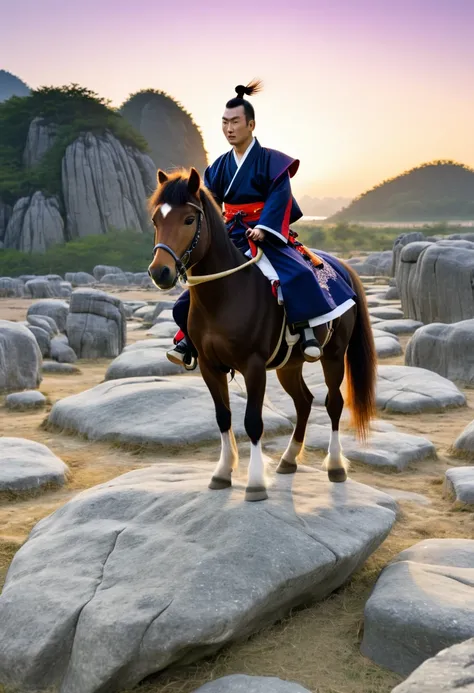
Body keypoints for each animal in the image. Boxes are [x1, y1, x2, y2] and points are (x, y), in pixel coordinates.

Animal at [146, 168, 376, 502]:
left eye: (189, 220)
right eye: (156, 221)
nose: (159, 272)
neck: (224, 295)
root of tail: (342, 266)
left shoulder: (253, 366)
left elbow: (253, 422)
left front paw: (255, 482)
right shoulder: (209, 366)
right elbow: (223, 417)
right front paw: (222, 472)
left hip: (334, 354)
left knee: (333, 403)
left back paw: (335, 465)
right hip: (289, 365)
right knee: (304, 402)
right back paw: (289, 459)